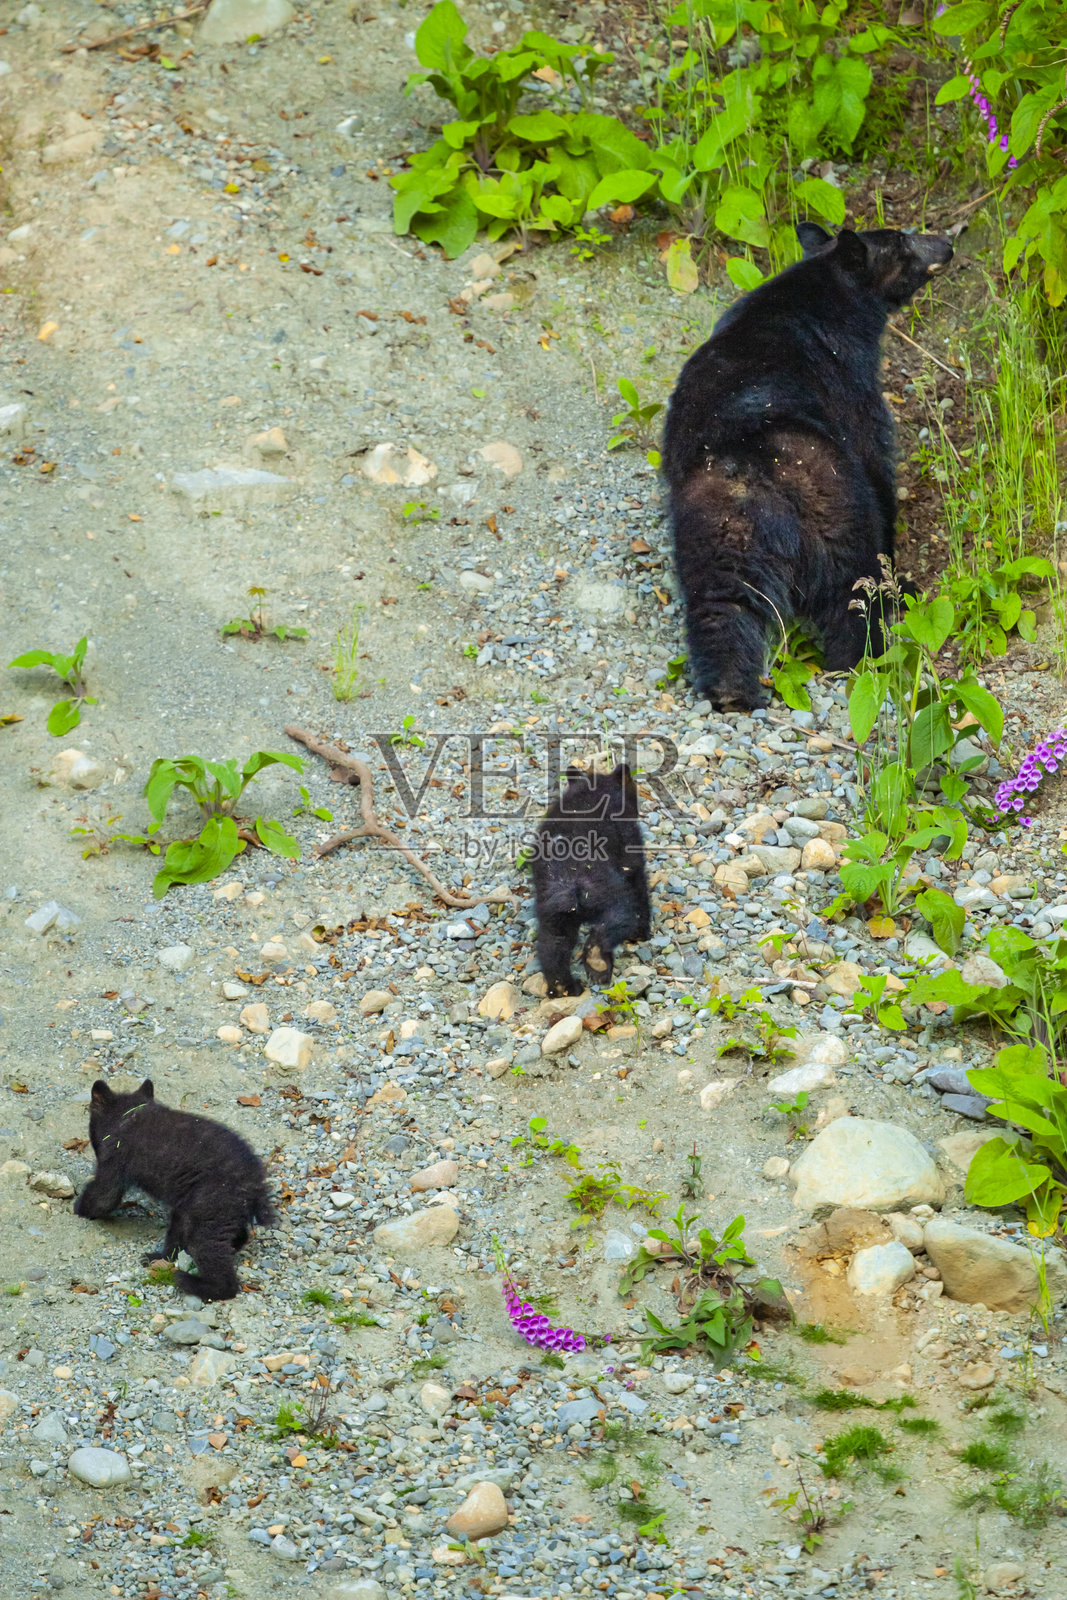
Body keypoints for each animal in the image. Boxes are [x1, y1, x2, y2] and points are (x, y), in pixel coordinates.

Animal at [73, 1078, 274, 1302]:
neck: (128, 1114)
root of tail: (256, 1184)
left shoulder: (114, 1162)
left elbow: (102, 1197)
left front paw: (79, 1207)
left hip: (208, 1209)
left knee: (223, 1278)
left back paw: (186, 1280)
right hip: (203, 1208)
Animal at [532, 762, 651, 997]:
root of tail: (571, 883)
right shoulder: (629, 844)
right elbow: (638, 880)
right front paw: (643, 931)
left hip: (552, 911)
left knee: (553, 944)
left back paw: (564, 986)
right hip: (606, 890)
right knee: (619, 916)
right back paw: (598, 962)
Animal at [662, 222, 954, 710]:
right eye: (902, 242)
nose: (948, 245)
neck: (828, 285)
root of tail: (754, 467)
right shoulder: (853, 382)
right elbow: (876, 452)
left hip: (714, 528)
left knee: (721, 606)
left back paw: (730, 690)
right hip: (834, 504)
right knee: (853, 589)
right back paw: (864, 654)